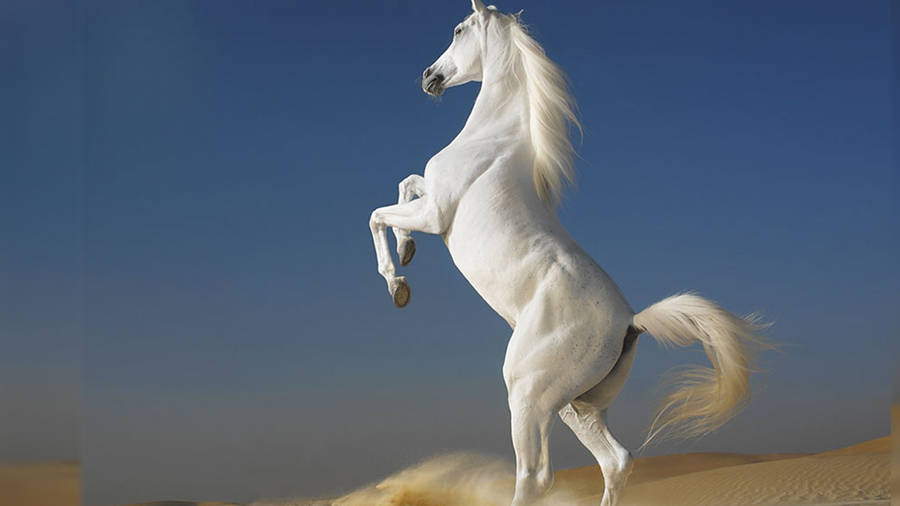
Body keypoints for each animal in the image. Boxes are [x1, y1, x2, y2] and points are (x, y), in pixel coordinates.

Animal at [368, 2, 770, 505]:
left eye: (458, 29)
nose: (429, 77)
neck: (492, 139)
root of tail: (630, 323)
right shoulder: (429, 201)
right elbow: (405, 185)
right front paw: (407, 253)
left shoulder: (436, 213)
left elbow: (379, 214)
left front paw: (397, 283)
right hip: (574, 406)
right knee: (615, 461)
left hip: (527, 394)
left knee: (537, 475)